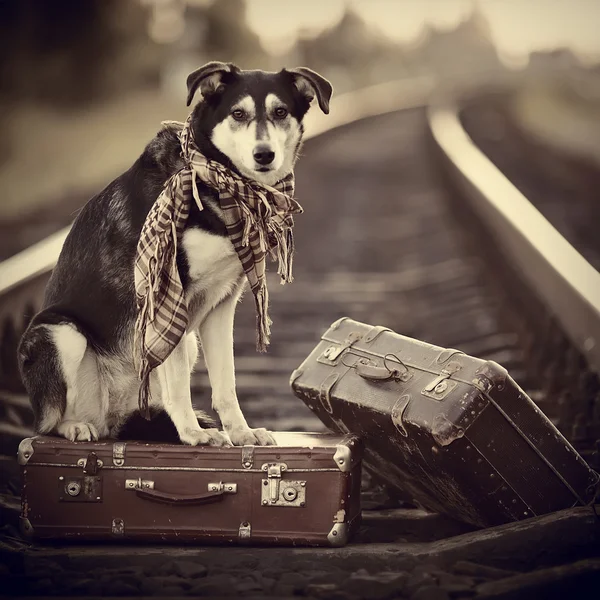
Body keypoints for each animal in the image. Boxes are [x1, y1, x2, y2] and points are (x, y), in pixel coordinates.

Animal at [16, 62, 332, 446]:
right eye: (238, 114)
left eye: (281, 112)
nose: (264, 154)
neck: (219, 180)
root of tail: (112, 418)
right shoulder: (169, 296)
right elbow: (179, 383)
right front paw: (194, 434)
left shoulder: (222, 303)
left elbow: (226, 383)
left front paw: (240, 432)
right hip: (60, 333)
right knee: (47, 421)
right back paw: (76, 426)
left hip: (183, 345)